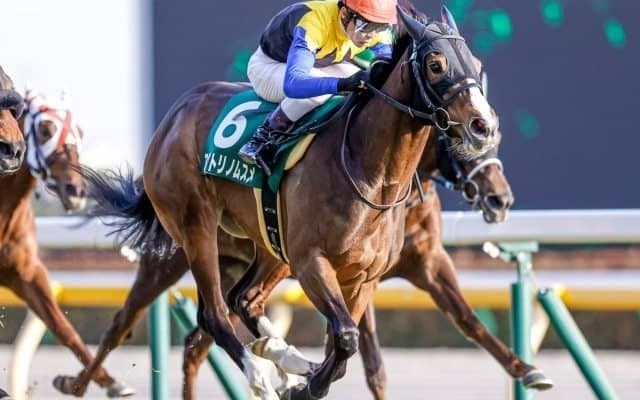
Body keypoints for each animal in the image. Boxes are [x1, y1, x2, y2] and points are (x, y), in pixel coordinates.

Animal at [0, 88, 133, 399]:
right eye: (46, 129)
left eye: (80, 132)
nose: (76, 190)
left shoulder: (26, 271)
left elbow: (63, 327)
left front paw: (111, 383)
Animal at [72, 6, 505, 399]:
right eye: (436, 64)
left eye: (476, 62)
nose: (484, 127)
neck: (369, 170)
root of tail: (173, 116)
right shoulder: (311, 260)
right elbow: (346, 337)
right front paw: (304, 386)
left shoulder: (364, 277)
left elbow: (340, 346)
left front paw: (303, 378)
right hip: (195, 230)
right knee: (211, 314)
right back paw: (262, 375)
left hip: (269, 246)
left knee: (243, 300)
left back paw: (283, 359)